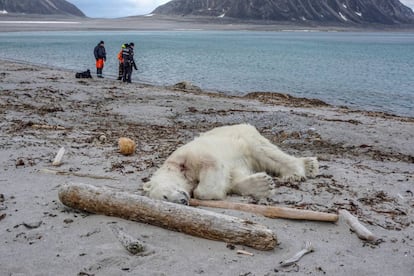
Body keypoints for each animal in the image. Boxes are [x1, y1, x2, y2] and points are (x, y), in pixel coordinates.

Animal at [144, 124, 318, 204]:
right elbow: (233, 178)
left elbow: (211, 169)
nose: (182, 201)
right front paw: (263, 184)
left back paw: (298, 171)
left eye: (165, 195)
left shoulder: (191, 155)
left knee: (266, 152)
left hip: (245, 137)